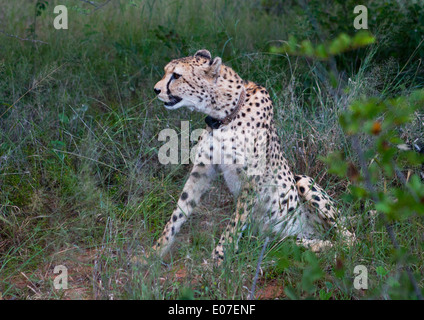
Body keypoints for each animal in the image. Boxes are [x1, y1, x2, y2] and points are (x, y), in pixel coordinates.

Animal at [146, 50, 354, 264]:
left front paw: (218, 257)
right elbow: (179, 211)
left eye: (176, 75)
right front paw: (156, 251)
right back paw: (314, 246)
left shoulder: (251, 179)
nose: (156, 90)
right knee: (297, 244)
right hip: (285, 238)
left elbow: (235, 222)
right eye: (166, 72)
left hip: (303, 181)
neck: (224, 115)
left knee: (349, 239)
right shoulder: (202, 171)